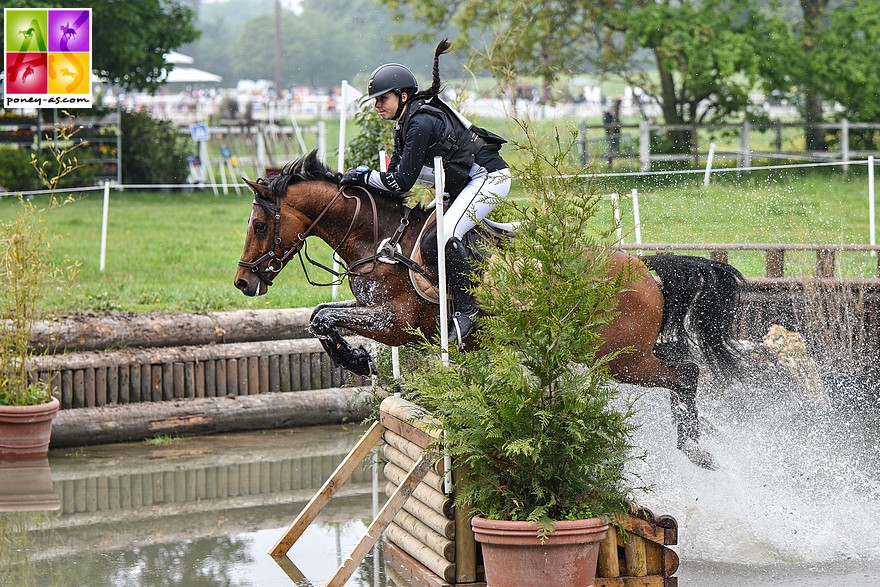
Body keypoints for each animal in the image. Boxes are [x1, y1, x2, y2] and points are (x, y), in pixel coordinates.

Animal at [234, 150, 744, 468]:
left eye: (258, 224)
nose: (243, 282)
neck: (377, 238)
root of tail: (645, 270)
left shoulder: (393, 323)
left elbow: (324, 317)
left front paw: (358, 359)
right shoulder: (375, 313)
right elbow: (319, 313)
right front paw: (356, 357)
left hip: (619, 358)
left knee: (686, 374)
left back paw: (695, 449)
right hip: (628, 352)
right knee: (685, 366)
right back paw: (704, 437)